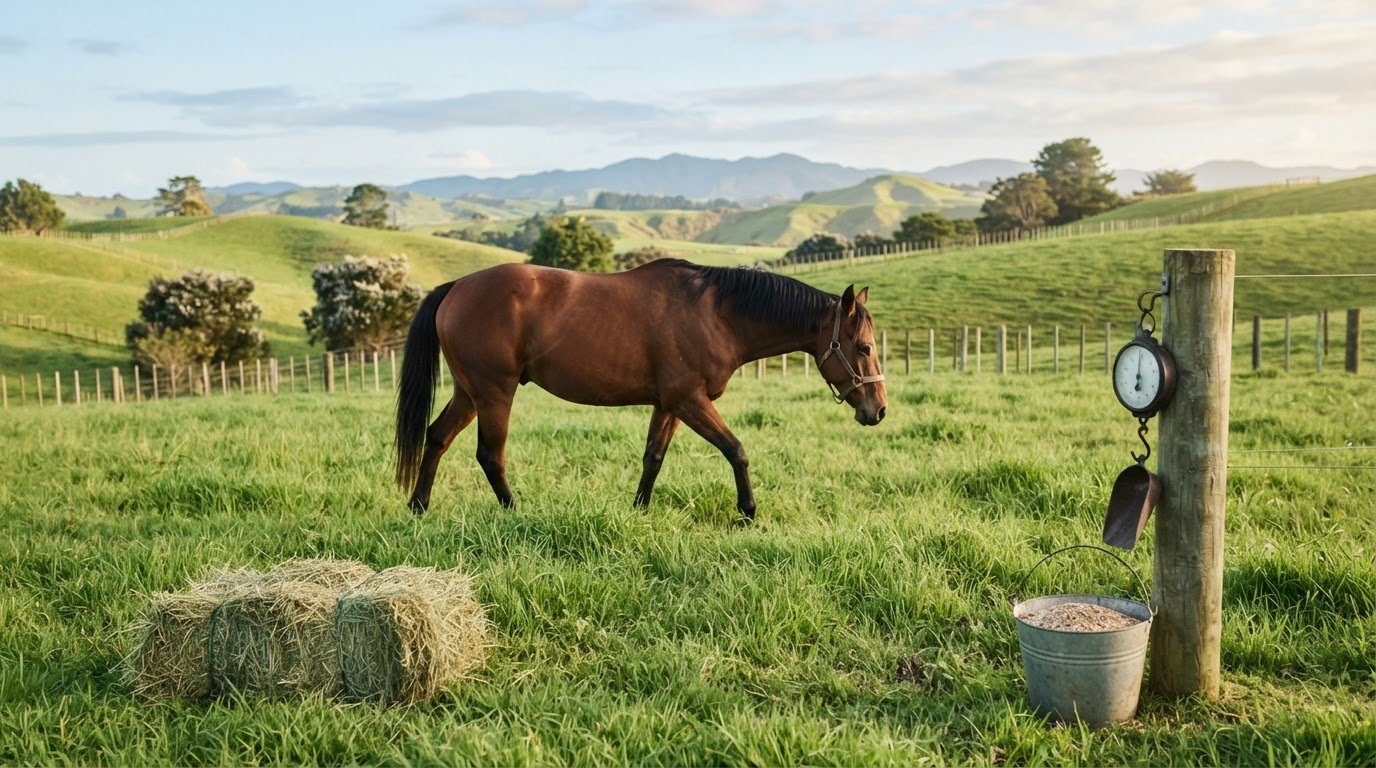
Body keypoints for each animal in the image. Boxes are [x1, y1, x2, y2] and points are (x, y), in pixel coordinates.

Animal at [393, 258, 887, 521]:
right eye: (863, 347)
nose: (878, 410)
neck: (716, 314)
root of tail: (457, 287)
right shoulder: (690, 401)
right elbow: (737, 450)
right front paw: (748, 510)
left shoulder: (669, 404)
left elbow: (653, 458)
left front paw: (640, 510)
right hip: (495, 393)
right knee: (490, 455)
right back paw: (515, 511)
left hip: (469, 392)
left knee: (437, 437)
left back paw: (419, 507)